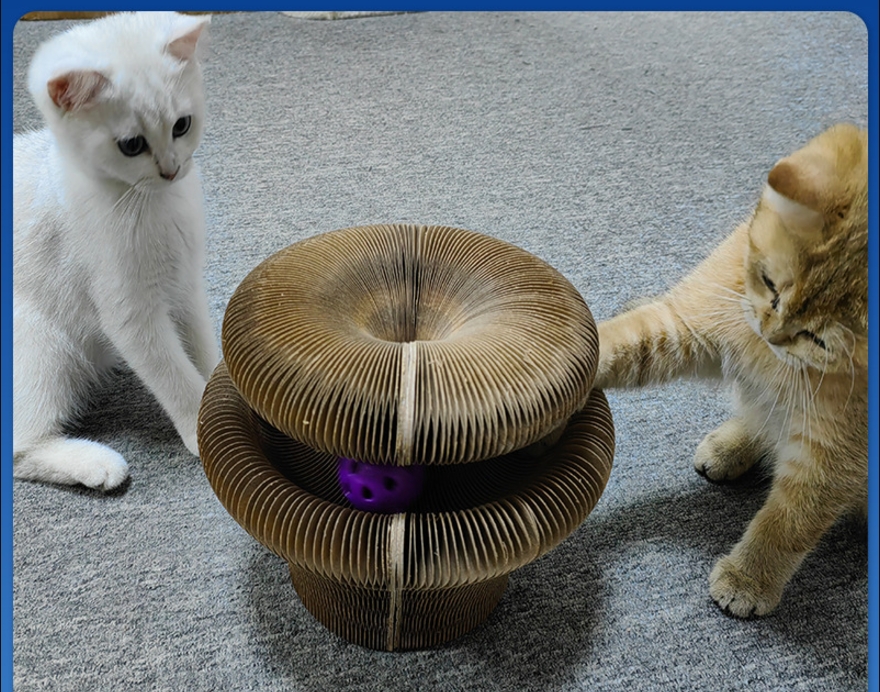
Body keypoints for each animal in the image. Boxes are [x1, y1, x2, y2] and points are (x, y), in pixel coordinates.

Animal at [13, 10, 218, 490]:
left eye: (181, 125)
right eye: (132, 145)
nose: (171, 170)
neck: (152, 204)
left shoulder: (186, 288)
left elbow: (203, 349)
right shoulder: (130, 315)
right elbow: (175, 375)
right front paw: (203, 428)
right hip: (39, 343)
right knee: (17, 446)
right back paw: (96, 464)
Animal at [596, 123, 868, 616]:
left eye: (819, 339)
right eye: (770, 284)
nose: (772, 333)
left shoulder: (836, 457)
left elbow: (788, 522)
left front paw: (750, 578)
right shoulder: (685, 326)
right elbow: (622, 341)